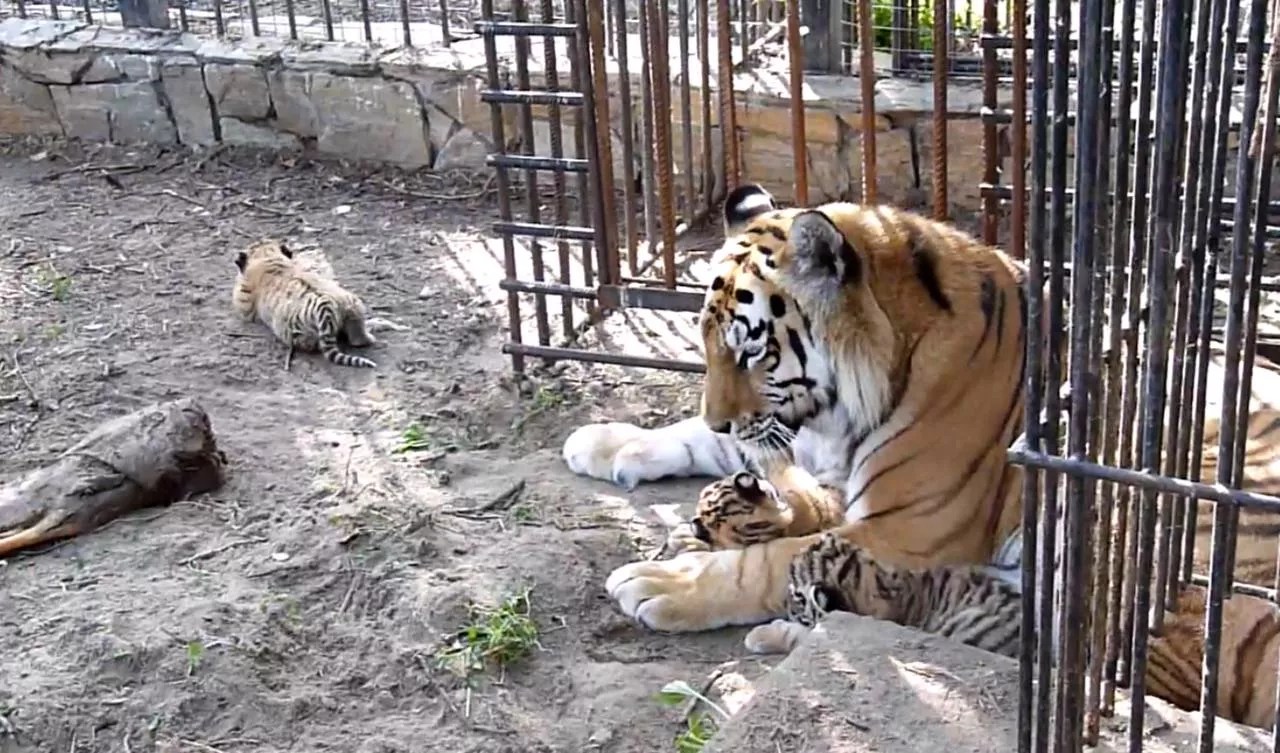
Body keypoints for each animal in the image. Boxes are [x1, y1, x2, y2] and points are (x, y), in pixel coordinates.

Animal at [560, 185, 1029, 632]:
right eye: (706, 341)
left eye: (750, 351)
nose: (719, 422)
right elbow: (699, 437)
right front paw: (603, 441)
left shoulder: (908, 532)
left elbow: (770, 561)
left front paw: (666, 581)